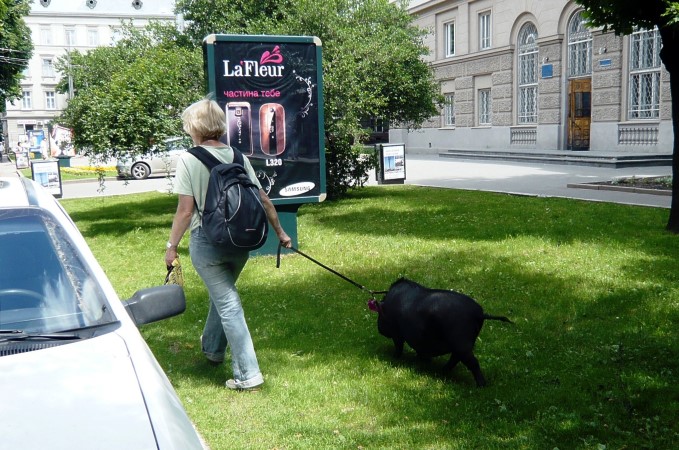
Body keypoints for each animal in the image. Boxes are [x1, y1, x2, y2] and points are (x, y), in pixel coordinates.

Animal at [372, 278, 510, 386]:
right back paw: (442, 371)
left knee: (472, 363)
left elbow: (399, 346)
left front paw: (394, 358)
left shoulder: (397, 334)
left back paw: (481, 385)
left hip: (462, 345)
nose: (378, 329)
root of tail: (480, 314)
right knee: (455, 359)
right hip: (463, 346)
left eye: (379, 315)